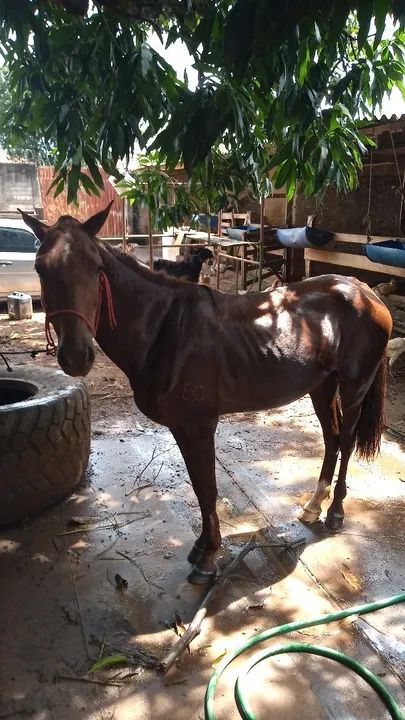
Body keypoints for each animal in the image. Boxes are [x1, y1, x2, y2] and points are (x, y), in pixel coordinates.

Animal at [20, 203, 392, 584]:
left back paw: (335, 512)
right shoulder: (183, 428)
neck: (164, 330)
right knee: (332, 439)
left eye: (96, 268)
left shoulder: (199, 425)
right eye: (40, 268)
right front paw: (202, 548)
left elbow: (207, 488)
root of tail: (363, 290)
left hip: (353, 385)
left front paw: (208, 558)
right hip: (321, 386)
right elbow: (200, 488)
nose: (76, 355)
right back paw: (312, 506)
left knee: (346, 440)